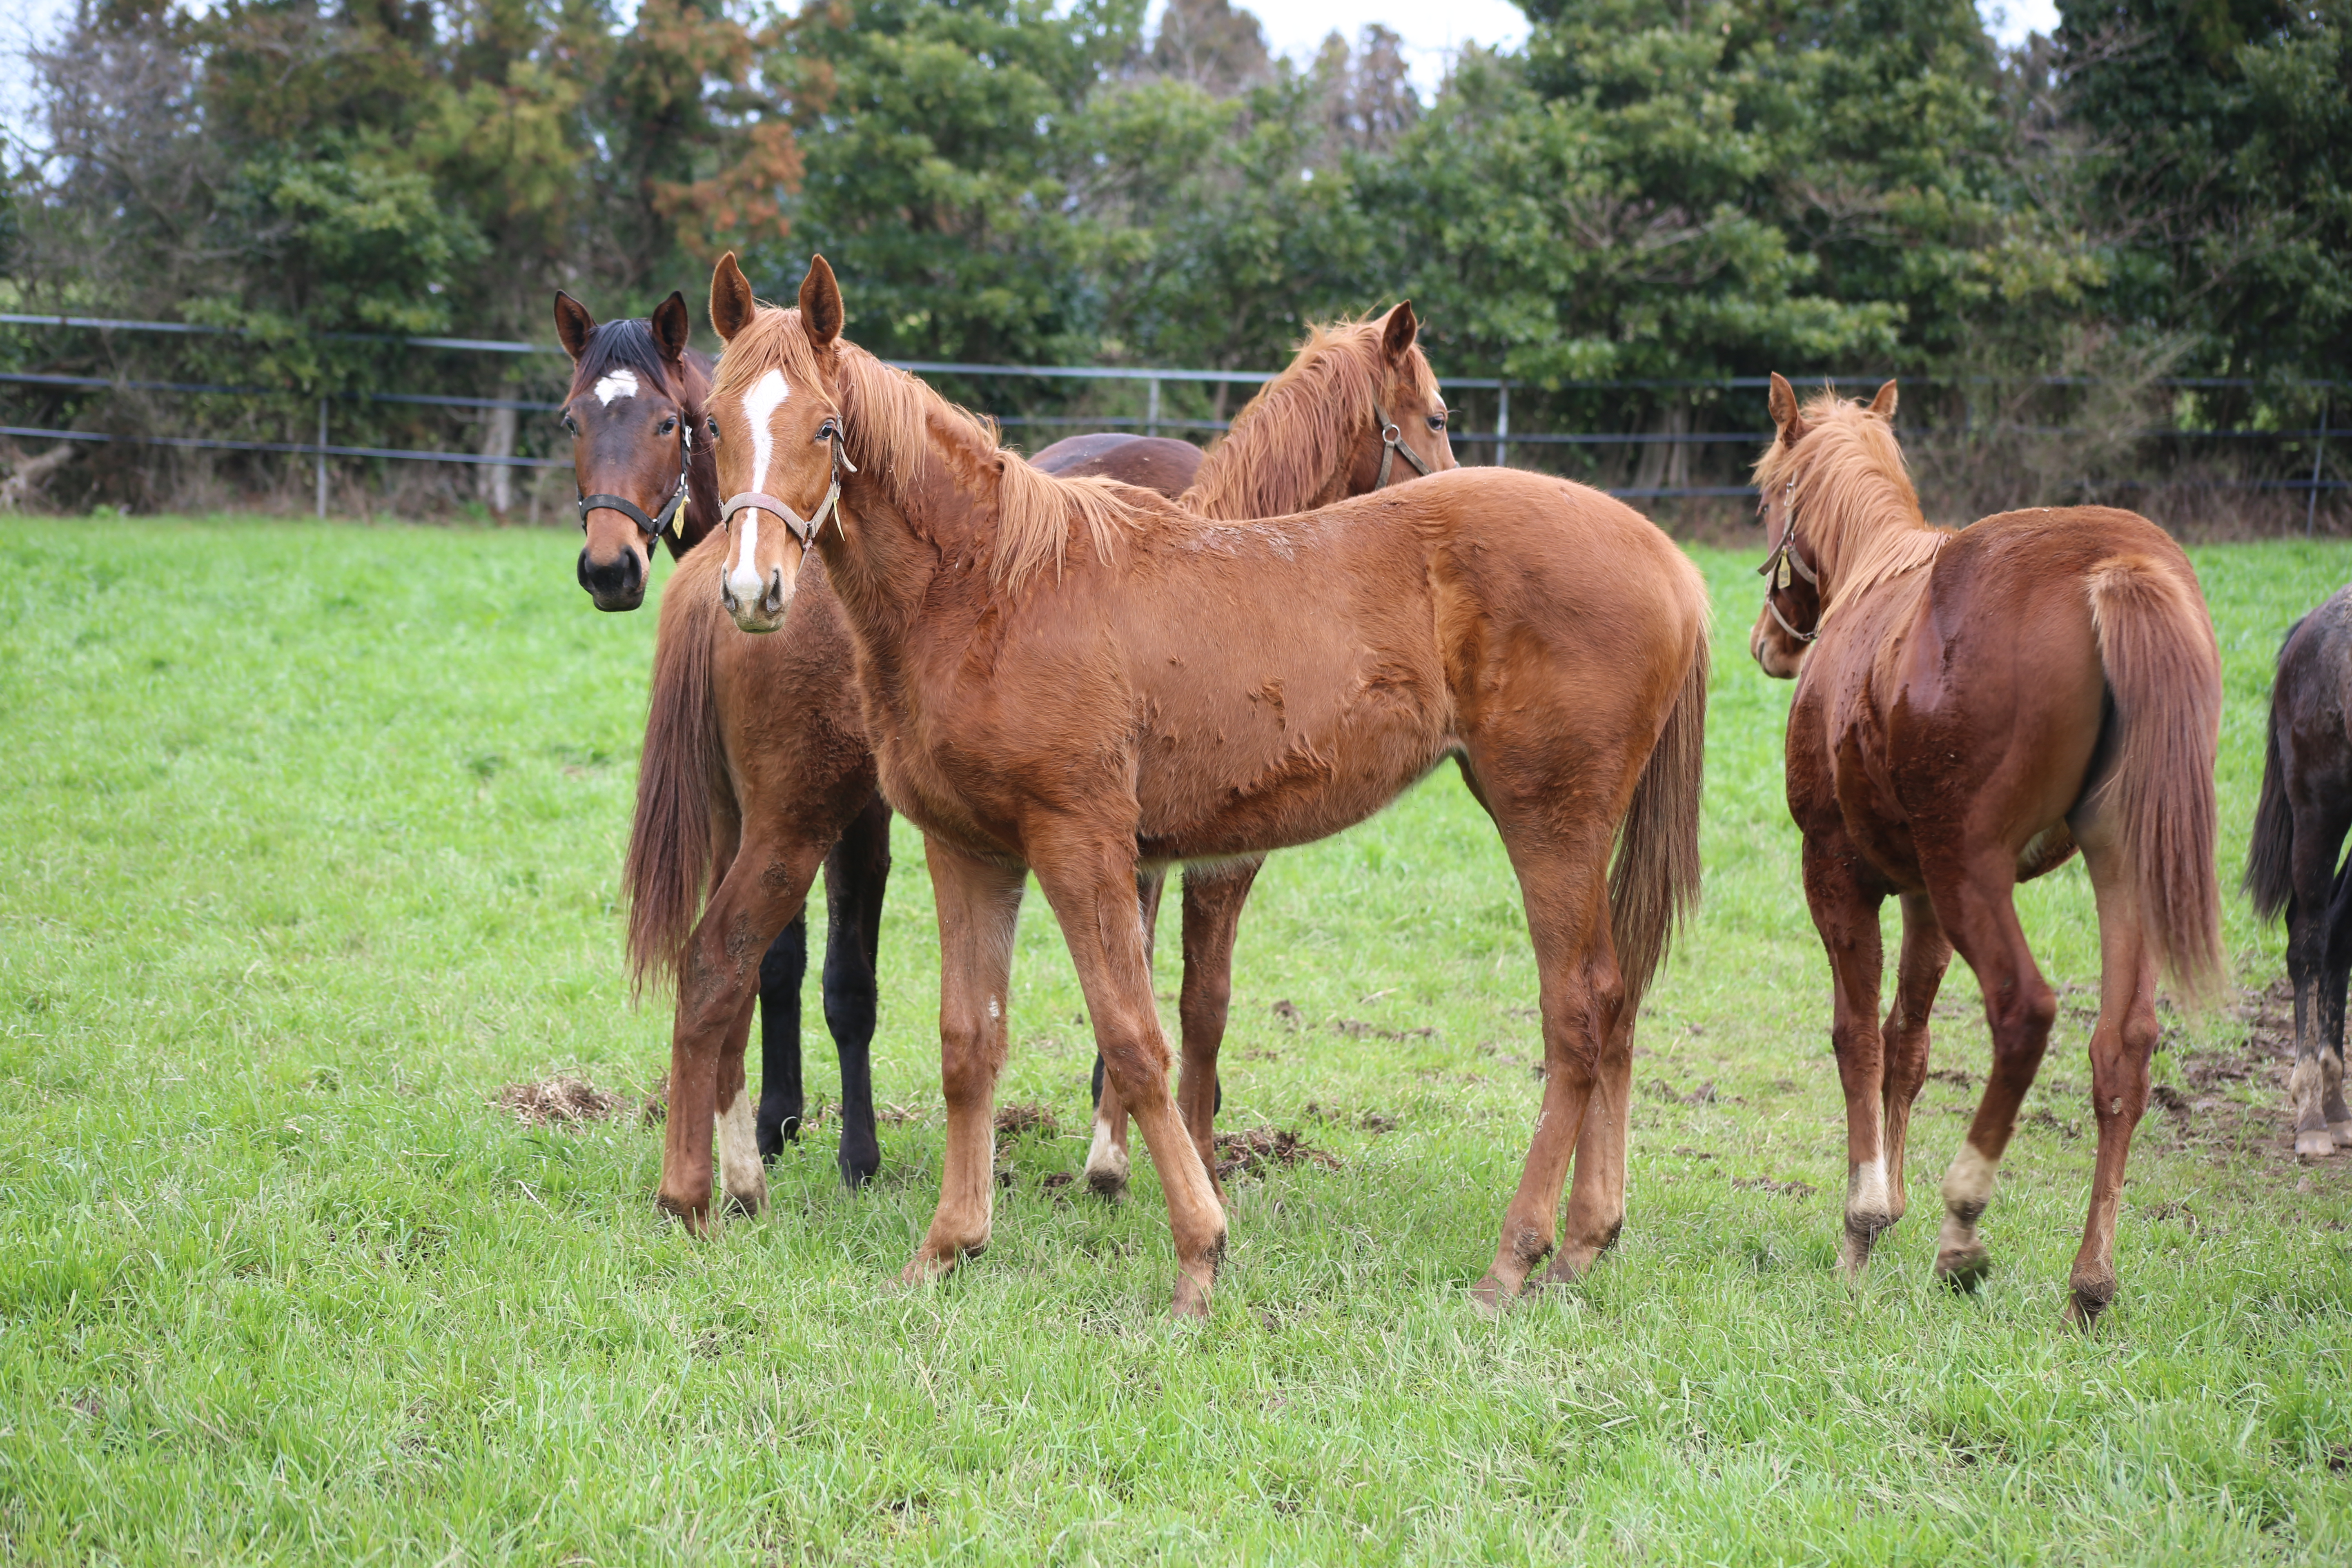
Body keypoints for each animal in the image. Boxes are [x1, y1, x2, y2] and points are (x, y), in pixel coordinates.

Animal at [701, 255, 1712, 1316]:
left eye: (825, 428)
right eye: (712, 424)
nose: (753, 590)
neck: (994, 585)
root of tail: (1671, 565)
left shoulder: (1085, 844)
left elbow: (1138, 1037)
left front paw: (1197, 1250)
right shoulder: (970, 851)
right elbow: (969, 1043)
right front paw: (948, 1245)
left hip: (1548, 820)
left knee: (1578, 1012)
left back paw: (1515, 1256)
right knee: (1614, 1004)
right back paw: (1583, 1239)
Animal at [1750, 376, 2220, 1326]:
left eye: (1766, 495)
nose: (1769, 643)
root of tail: (2116, 566)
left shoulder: (1839, 873)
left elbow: (1857, 1037)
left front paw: (1863, 1225)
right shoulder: (1924, 894)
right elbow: (1908, 1041)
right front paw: (1888, 1206)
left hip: (1976, 873)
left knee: (2025, 1012)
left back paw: (1963, 1226)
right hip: (2117, 867)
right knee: (2122, 1045)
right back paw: (2089, 1284)